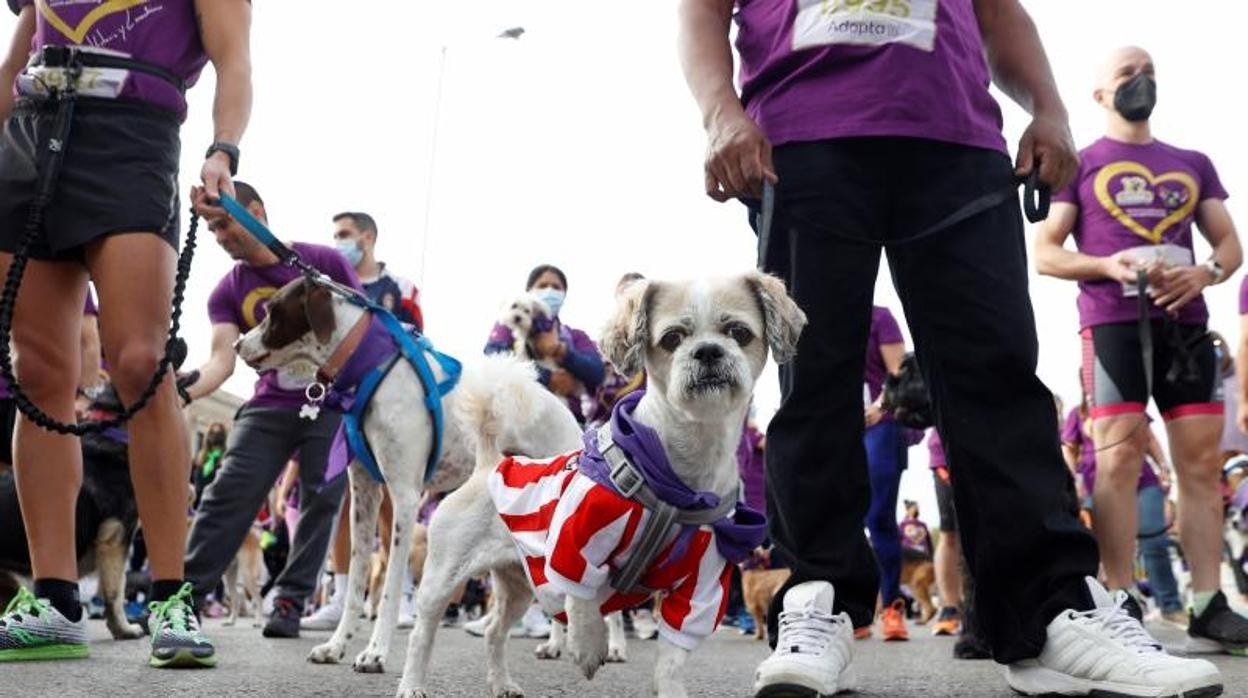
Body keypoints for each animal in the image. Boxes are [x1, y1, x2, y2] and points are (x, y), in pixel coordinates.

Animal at [396, 272, 808, 698]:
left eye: (739, 333)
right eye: (672, 338)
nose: (708, 351)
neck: (678, 483)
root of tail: (490, 464)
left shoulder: (700, 588)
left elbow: (672, 659)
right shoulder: (575, 542)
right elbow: (582, 602)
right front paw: (588, 647)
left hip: (518, 584)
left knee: (495, 632)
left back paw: (502, 683)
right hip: (442, 578)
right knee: (422, 635)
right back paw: (412, 683)